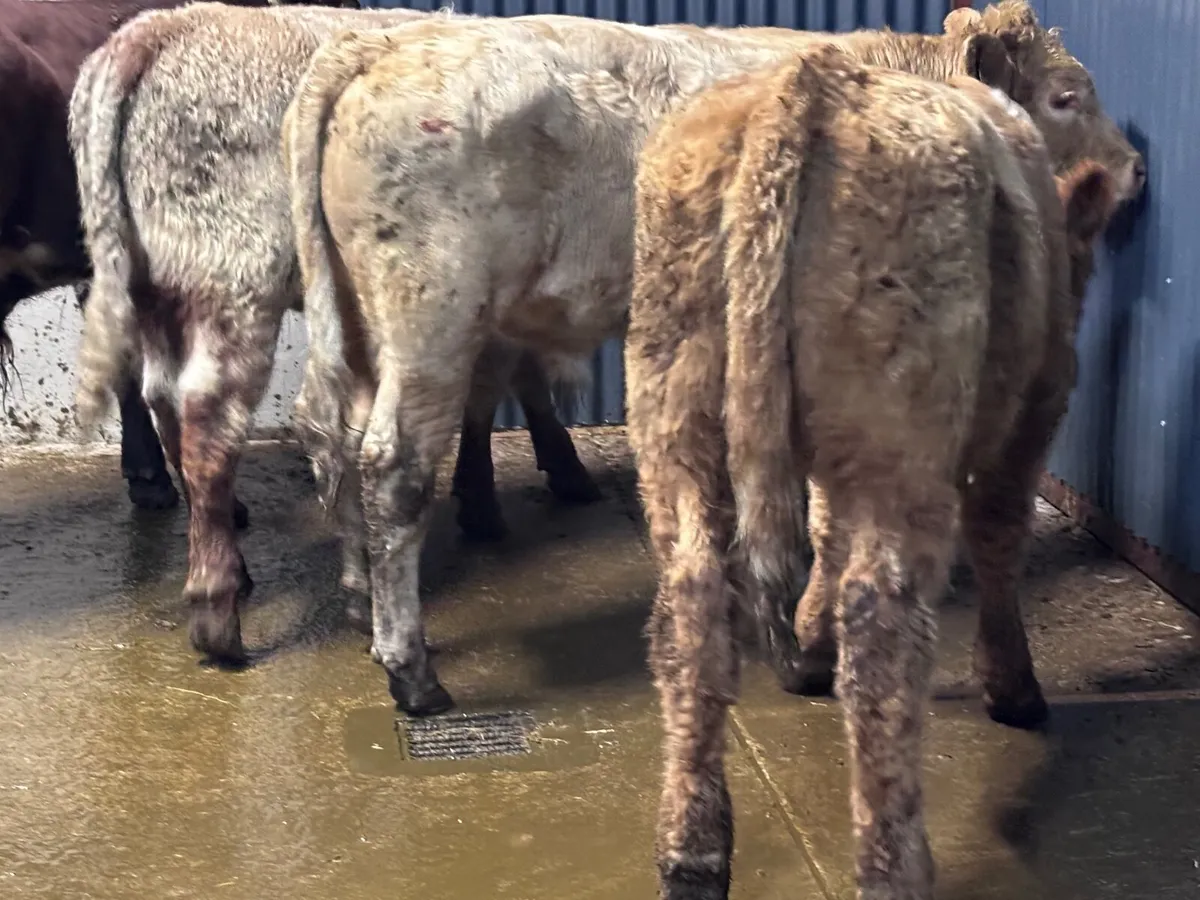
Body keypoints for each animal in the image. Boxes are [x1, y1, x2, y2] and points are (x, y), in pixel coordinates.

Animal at [67, 2, 602, 666]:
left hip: (156, 276)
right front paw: (515, 487)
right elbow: (498, 390)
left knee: (164, 401)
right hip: (233, 269)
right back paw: (220, 611)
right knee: (209, 416)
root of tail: (158, 28)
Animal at [282, 0, 1143, 715]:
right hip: (431, 314)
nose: (1134, 167)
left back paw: (360, 599)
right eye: (1066, 96)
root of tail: (381, 44)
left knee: (337, 434)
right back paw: (411, 670)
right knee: (393, 465)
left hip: (360, 319)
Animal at [623, 46, 1118, 900]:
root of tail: (812, 78)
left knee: (692, 605)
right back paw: (895, 867)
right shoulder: (1039, 403)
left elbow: (827, 526)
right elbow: (998, 533)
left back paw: (692, 851)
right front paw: (1013, 687)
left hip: (674, 412)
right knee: (882, 627)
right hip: (903, 434)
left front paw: (810, 642)